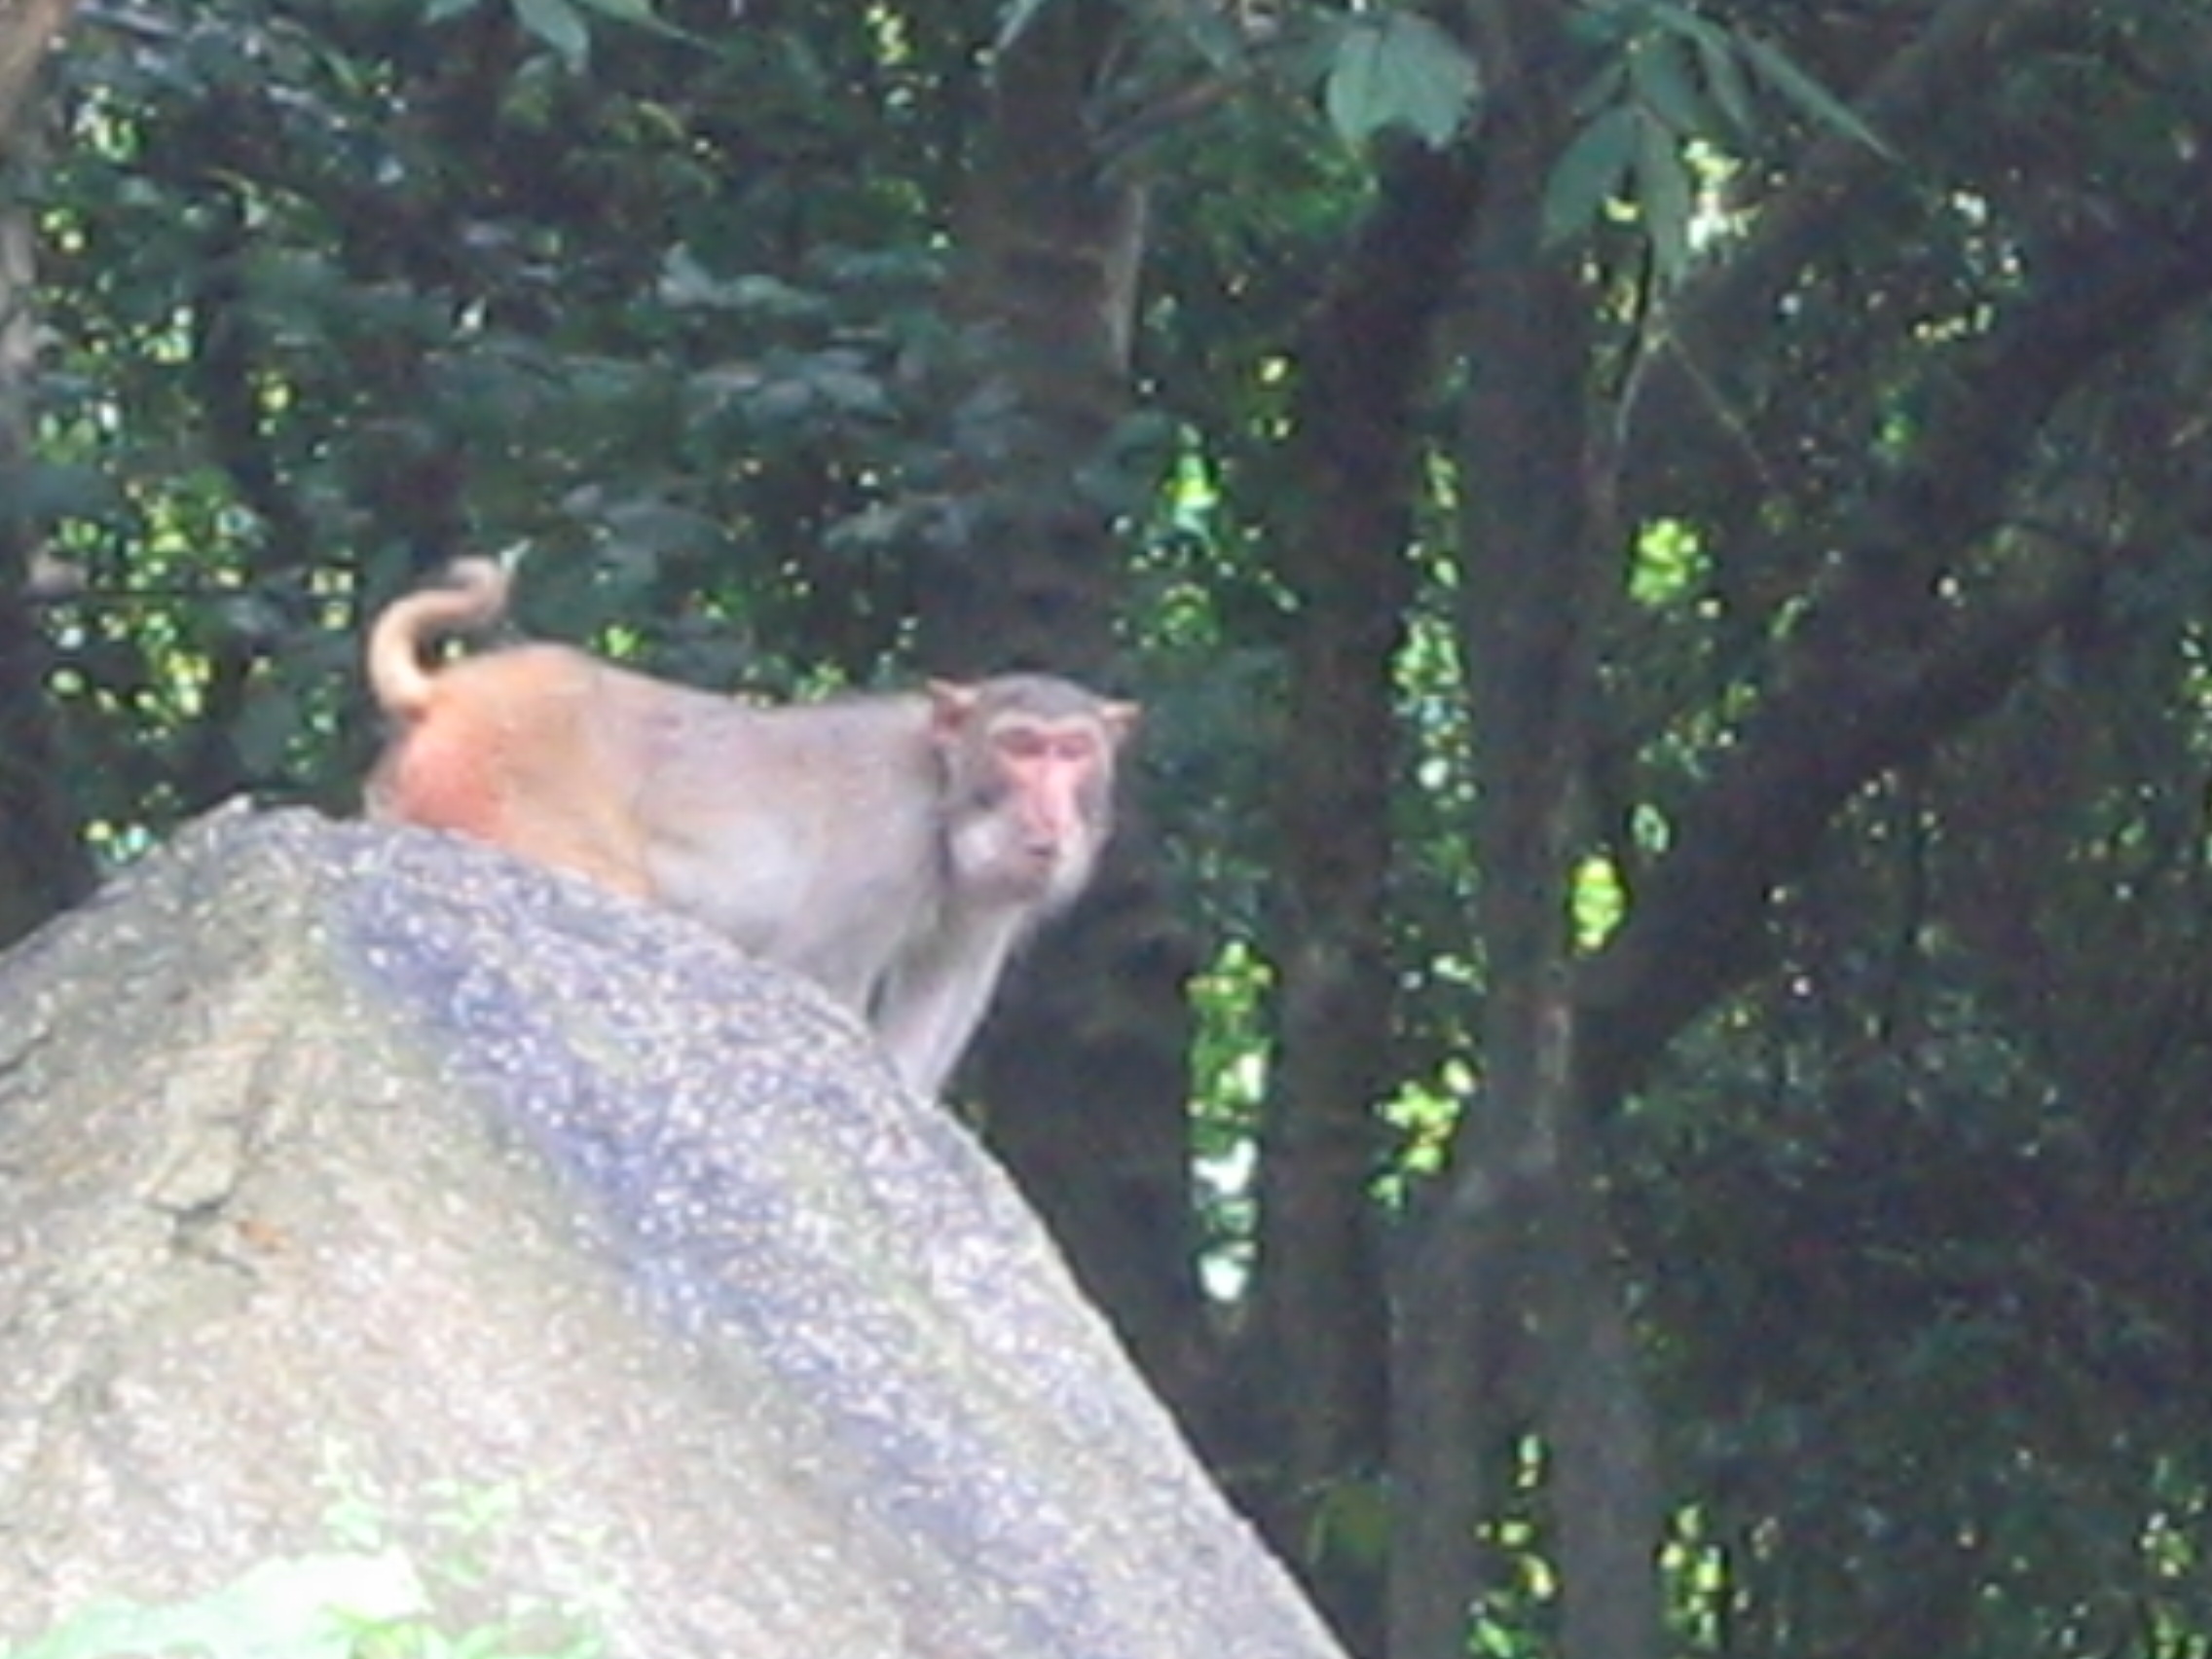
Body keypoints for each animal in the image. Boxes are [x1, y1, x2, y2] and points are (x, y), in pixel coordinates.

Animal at [362, 558, 1137, 1099]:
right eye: (1022, 747)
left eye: (1072, 751)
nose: (1049, 813)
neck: (945, 784)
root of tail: (449, 692)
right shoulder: (887, 842)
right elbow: (818, 984)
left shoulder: (980, 911)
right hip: (506, 794)